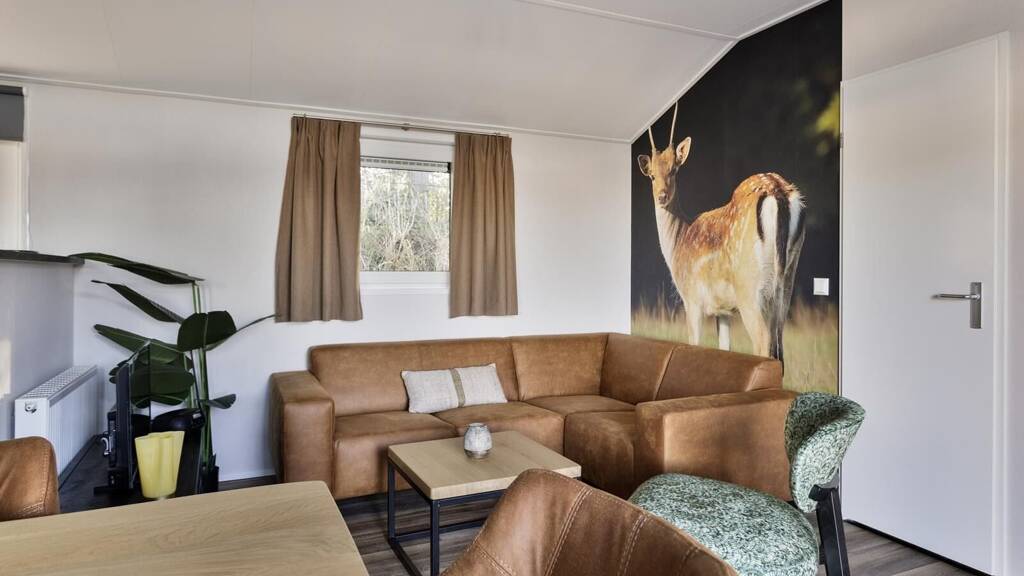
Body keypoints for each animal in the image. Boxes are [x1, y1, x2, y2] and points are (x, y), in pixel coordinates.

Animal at [637, 103, 805, 363]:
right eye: (652, 175)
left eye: (674, 170)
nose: (662, 196)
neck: (678, 244)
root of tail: (778, 192)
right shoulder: (723, 310)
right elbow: (724, 348)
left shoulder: (692, 300)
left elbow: (695, 342)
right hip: (787, 280)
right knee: (779, 343)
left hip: (750, 288)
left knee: (763, 340)